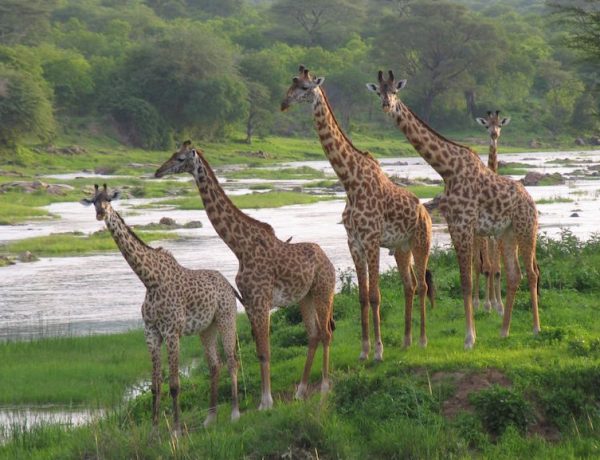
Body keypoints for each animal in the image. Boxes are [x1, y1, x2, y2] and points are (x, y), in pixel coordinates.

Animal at [79, 184, 239, 434]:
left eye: (109, 199)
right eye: (94, 201)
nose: (100, 213)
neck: (150, 280)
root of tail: (228, 285)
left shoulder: (172, 332)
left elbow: (174, 384)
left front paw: (176, 429)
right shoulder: (151, 332)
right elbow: (155, 385)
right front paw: (153, 430)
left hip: (226, 318)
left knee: (232, 362)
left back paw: (234, 414)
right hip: (207, 328)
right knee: (215, 365)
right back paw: (210, 419)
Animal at [155, 143, 338, 410]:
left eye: (179, 158)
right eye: (171, 154)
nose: (158, 171)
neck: (239, 247)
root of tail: (328, 260)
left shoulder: (261, 302)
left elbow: (266, 351)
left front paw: (266, 402)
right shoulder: (250, 303)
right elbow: (260, 351)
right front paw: (264, 400)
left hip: (324, 291)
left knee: (326, 333)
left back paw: (324, 388)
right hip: (305, 297)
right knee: (313, 335)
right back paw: (300, 391)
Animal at [282, 65, 432, 360]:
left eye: (304, 87)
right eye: (290, 85)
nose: (283, 104)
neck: (349, 181)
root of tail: (426, 213)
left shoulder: (371, 240)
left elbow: (375, 296)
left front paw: (378, 351)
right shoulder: (354, 243)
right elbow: (362, 297)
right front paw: (364, 351)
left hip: (422, 242)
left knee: (421, 285)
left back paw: (422, 341)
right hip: (402, 248)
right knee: (409, 285)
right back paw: (407, 340)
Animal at [368, 71, 540, 348]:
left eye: (395, 91)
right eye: (379, 92)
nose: (387, 105)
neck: (447, 169)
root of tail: (531, 200)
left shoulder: (465, 224)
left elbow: (468, 279)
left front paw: (469, 338)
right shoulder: (454, 225)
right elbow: (466, 279)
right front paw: (473, 333)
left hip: (526, 228)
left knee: (532, 273)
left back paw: (536, 328)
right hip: (507, 234)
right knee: (515, 275)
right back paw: (504, 331)